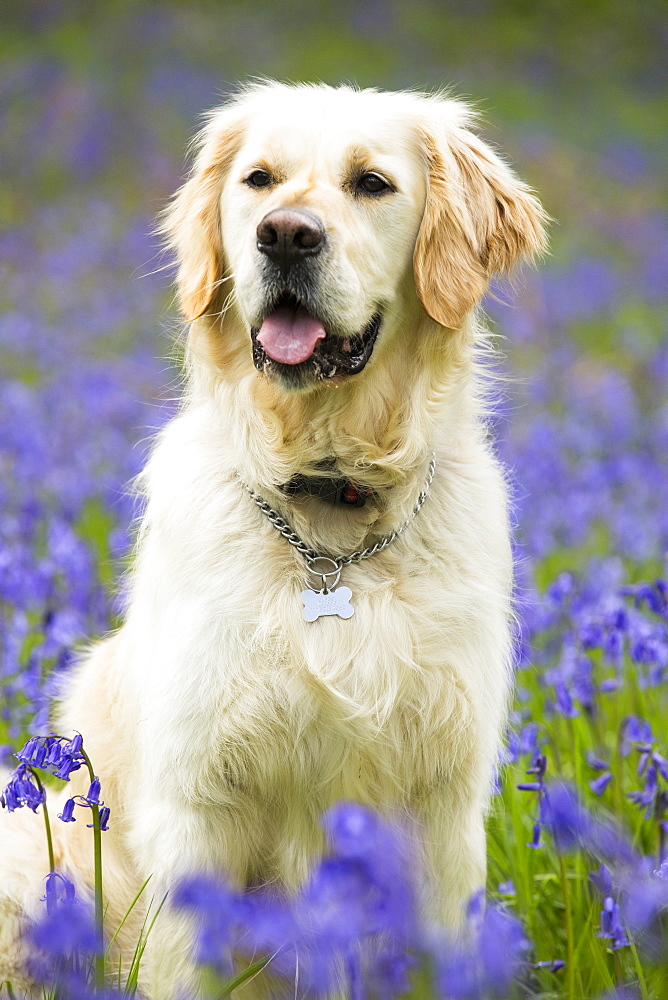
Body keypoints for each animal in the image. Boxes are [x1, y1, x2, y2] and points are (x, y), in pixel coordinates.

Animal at [0, 82, 544, 996]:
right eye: (259, 180)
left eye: (372, 183)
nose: (286, 234)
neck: (329, 520)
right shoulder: (201, 802)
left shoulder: (442, 808)